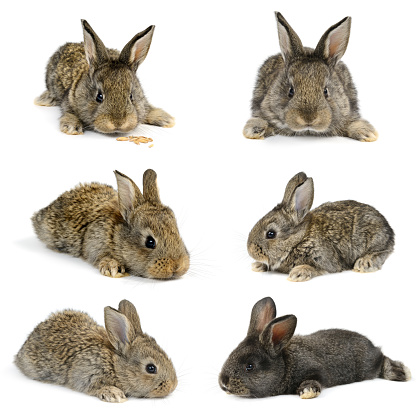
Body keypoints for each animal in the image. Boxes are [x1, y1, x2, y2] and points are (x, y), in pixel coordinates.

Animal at [33, 19, 174, 135]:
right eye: (99, 96)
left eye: (131, 96)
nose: (118, 123)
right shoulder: (69, 101)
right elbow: (69, 113)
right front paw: (72, 128)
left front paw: (166, 119)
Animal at [219, 298, 412, 398]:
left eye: (249, 366)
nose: (223, 382)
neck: (286, 365)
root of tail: (371, 345)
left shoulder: (315, 370)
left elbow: (315, 380)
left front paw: (307, 392)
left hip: (368, 366)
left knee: (383, 360)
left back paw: (402, 372)